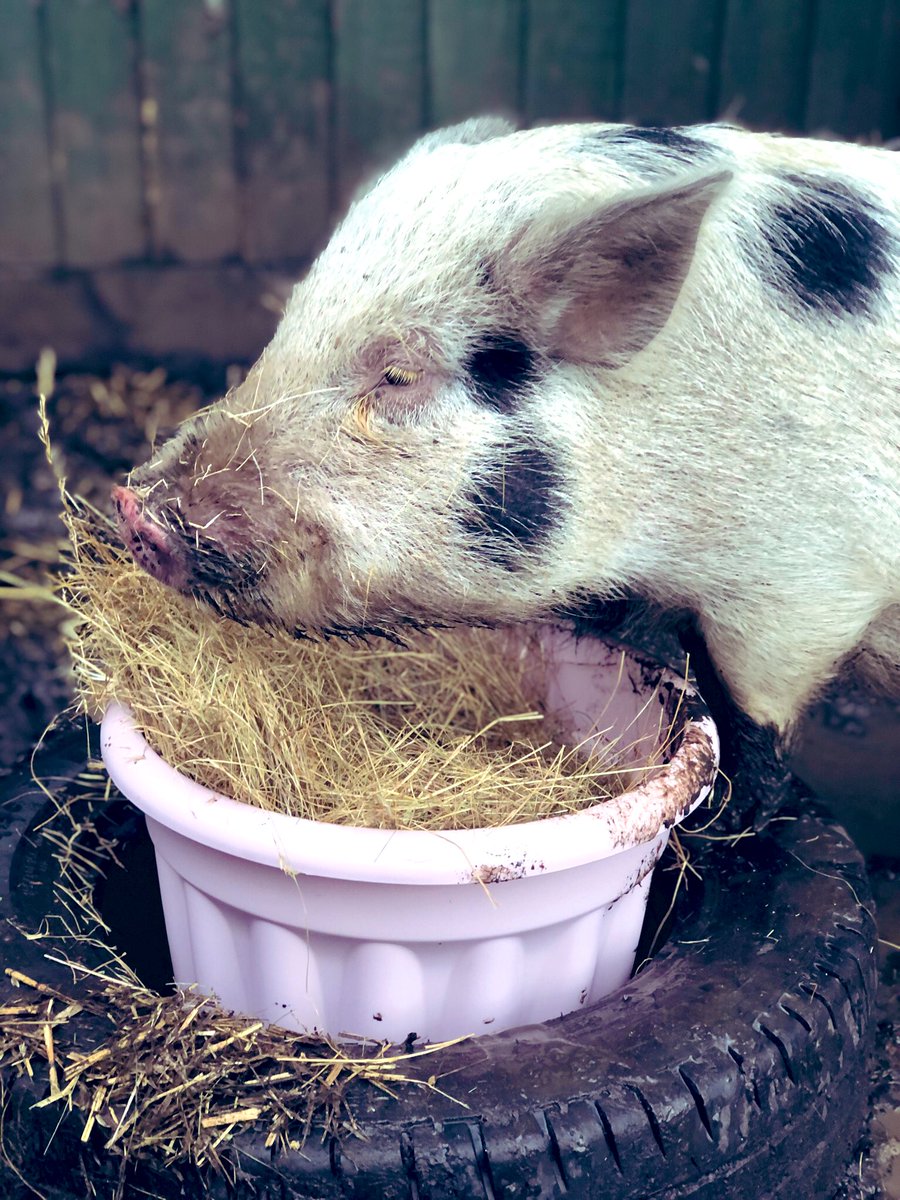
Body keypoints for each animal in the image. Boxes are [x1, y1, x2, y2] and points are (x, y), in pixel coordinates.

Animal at [113, 117, 900, 820]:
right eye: (283, 330)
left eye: (400, 374)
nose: (133, 505)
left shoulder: (802, 585)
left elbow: (750, 717)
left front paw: (727, 826)